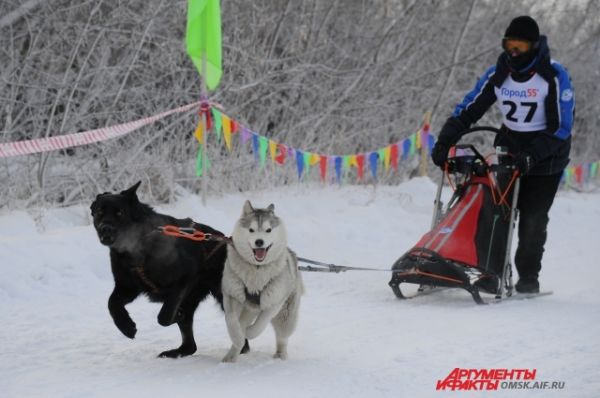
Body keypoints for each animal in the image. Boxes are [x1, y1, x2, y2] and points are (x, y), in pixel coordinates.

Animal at [89, 182, 248, 360]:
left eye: (119, 213)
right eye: (99, 212)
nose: (105, 229)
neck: (140, 246)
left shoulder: (183, 279)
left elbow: (164, 316)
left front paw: (176, 315)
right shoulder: (126, 287)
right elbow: (112, 304)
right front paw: (126, 326)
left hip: (221, 295)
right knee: (191, 346)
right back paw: (177, 351)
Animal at [220, 201, 302, 362]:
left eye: (268, 230)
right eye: (251, 230)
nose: (259, 242)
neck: (256, 269)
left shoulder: (275, 301)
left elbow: (261, 323)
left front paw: (249, 332)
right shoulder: (231, 295)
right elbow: (231, 320)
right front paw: (238, 337)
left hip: (286, 314)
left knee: (282, 336)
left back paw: (280, 354)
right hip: (247, 309)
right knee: (241, 323)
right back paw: (231, 355)